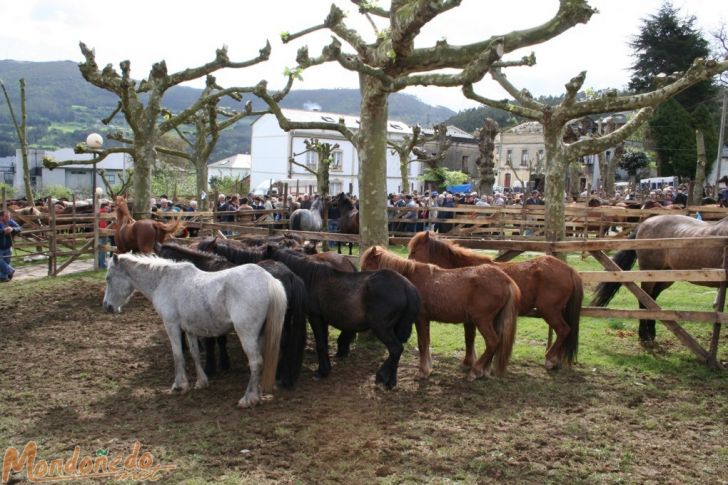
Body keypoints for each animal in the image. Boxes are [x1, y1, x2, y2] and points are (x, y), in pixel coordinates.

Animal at [156, 240, 308, 388]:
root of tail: (290, 276)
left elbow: (211, 341)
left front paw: (210, 368)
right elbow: (221, 340)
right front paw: (224, 363)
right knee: (285, 341)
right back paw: (282, 374)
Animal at [360, 246, 520, 378]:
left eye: (367, 266)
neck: (411, 279)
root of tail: (506, 280)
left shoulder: (421, 319)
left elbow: (423, 343)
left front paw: (423, 371)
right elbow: (427, 342)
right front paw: (428, 368)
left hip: (482, 321)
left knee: (493, 342)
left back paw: (476, 371)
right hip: (493, 320)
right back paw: (484, 370)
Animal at [406, 231, 584, 366]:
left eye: (414, 251)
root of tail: (569, 270)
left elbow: (469, 338)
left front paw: (469, 363)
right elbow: (469, 338)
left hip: (549, 311)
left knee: (563, 330)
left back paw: (550, 359)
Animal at [592, 215, 728, 344]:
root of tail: (643, 224)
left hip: (665, 277)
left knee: (652, 301)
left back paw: (651, 332)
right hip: (650, 273)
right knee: (644, 300)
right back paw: (644, 336)